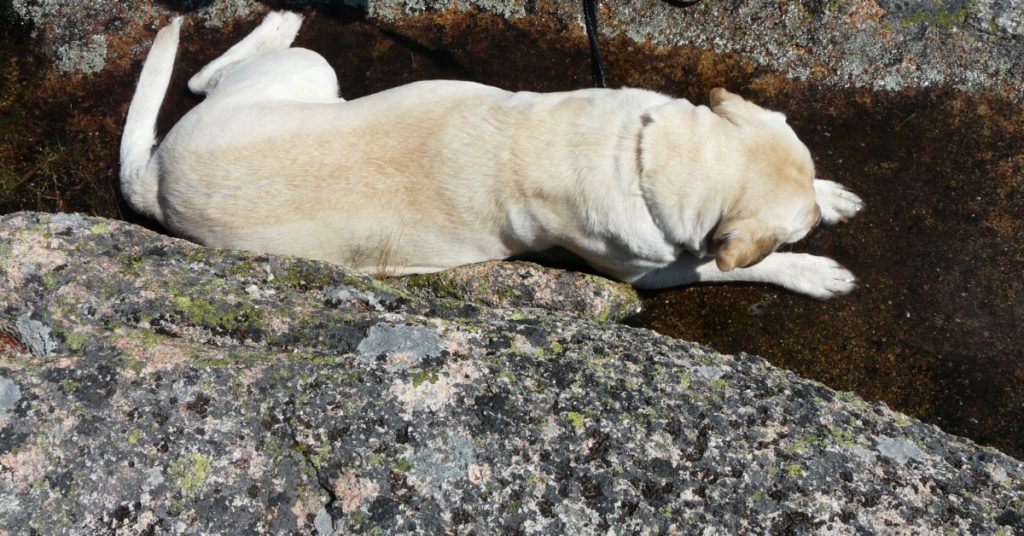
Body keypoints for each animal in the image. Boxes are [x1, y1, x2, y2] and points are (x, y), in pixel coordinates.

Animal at [119, 12, 864, 299]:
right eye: (796, 234)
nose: (817, 218)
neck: (642, 153)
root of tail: (152, 181)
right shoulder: (649, 272)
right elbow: (736, 267)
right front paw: (814, 270)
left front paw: (832, 193)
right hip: (312, 71)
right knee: (197, 76)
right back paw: (278, 21)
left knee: (195, 80)